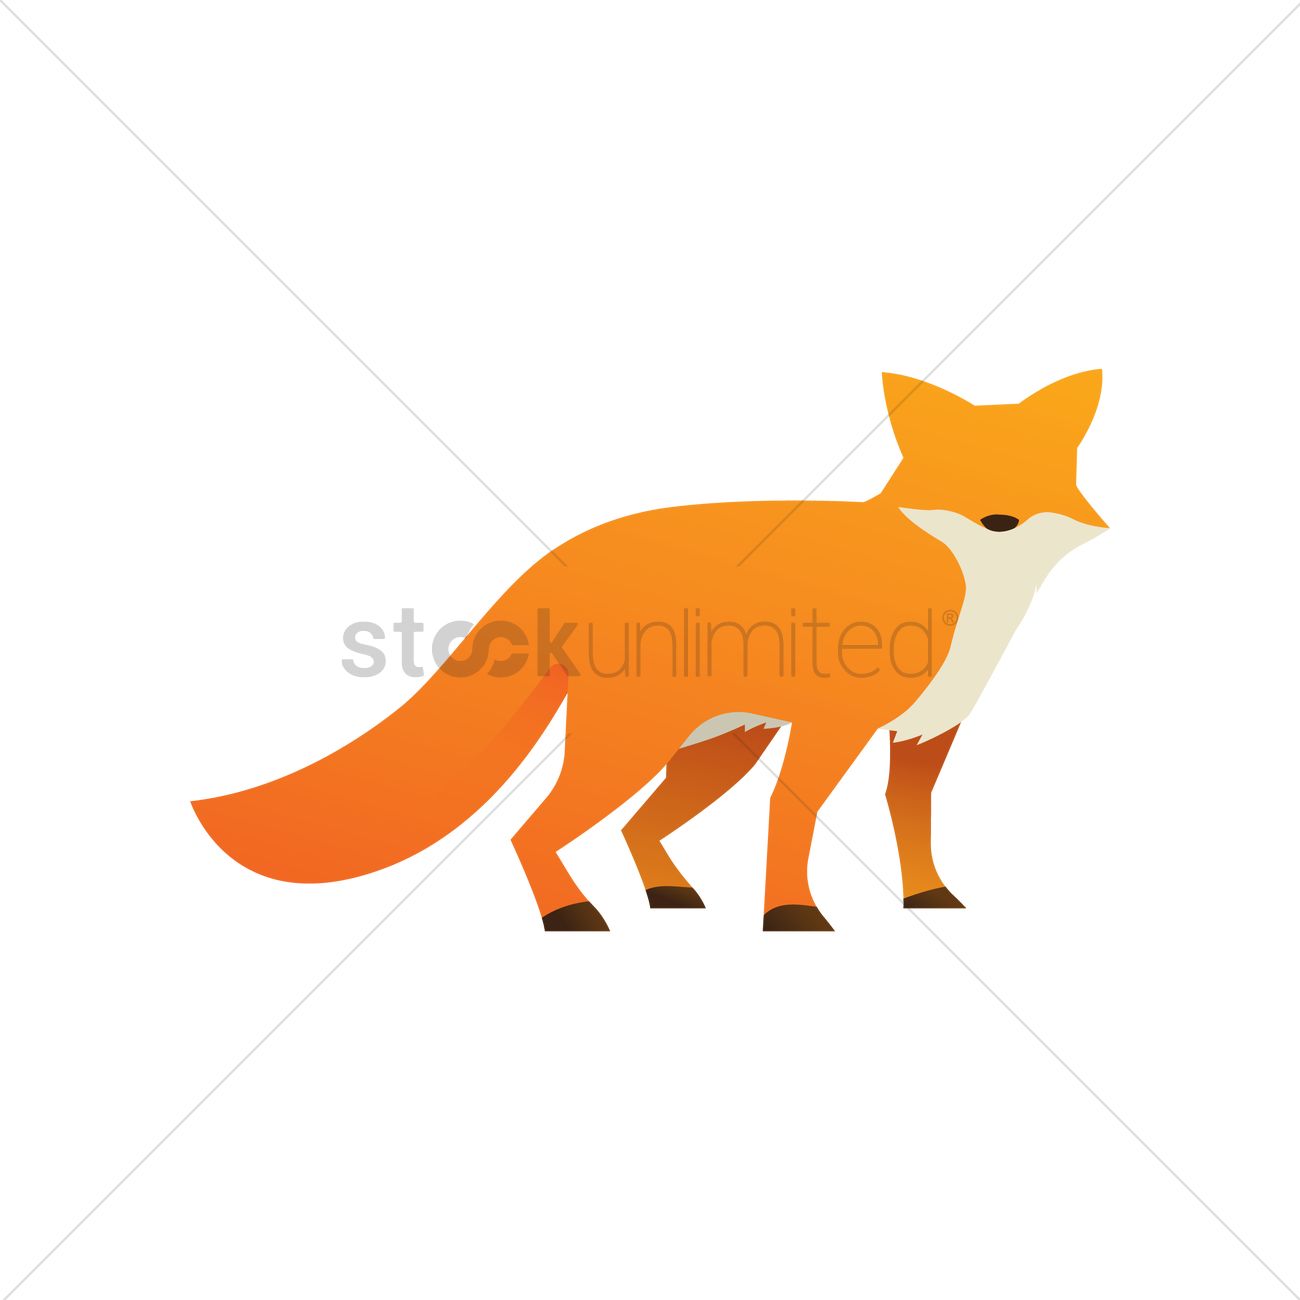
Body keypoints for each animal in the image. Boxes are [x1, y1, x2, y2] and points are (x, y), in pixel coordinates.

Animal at [193, 370, 1106, 931]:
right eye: (955, 470)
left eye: (1027, 468)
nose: (998, 518)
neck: (974, 585)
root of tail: (565, 555)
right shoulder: (831, 729)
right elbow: (791, 822)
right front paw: (790, 916)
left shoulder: (928, 733)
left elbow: (912, 824)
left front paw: (928, 896)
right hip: (637, 746)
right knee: (532, 833)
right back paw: (569, 915)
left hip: (714, 748)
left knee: (635, 828)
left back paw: (664, 892)